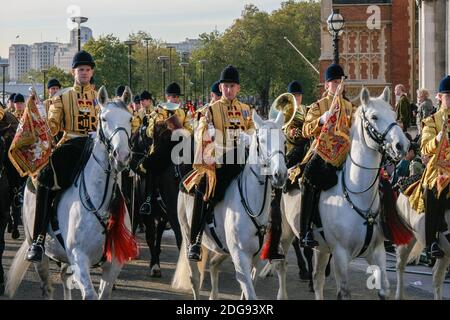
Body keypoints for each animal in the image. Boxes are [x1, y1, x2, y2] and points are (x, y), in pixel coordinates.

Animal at [6, 85, 134, 300]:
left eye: (130, 119)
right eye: (104, 118)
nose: (122, 155)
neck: (99, 202)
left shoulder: (112, 265)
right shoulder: (79, 258)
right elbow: (89, 295)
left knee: (65, 280)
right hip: (41, 254)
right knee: (48, 287)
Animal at [171, 111, 286, 298]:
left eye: (283, 139)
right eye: (261, 140)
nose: (280, 175)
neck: (252, 204)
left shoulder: (255, 258)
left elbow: (248, 291)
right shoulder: (240, 256)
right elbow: (250, 293)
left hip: (222, 247)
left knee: (214, 264)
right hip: (187, 233)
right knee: (194, 278)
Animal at [276, 86, 410, 298]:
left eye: (394, 114)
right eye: (374, 117)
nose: (402, 145)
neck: (358, 195)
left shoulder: (376, 251)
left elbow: (383, 289)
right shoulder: (340, 254)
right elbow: (344, 292)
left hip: (321, 248)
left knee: (318, 279)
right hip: (286, 233)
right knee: (282, 264)